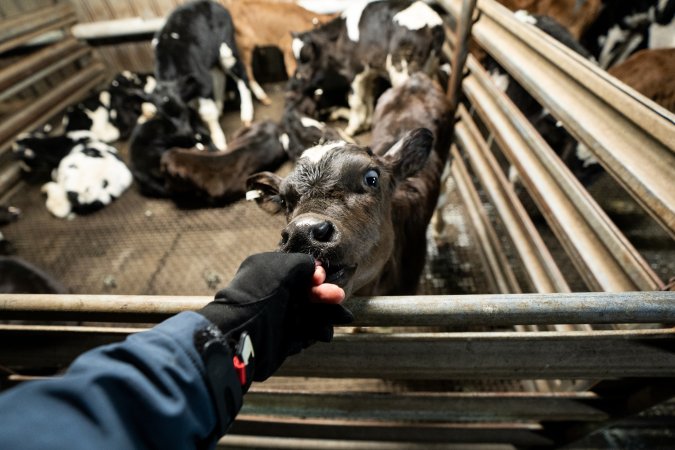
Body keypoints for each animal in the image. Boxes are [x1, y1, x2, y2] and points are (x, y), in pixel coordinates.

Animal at [152, 0, 255, 151]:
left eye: (182, 111)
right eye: (164, 117)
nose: (184, 132)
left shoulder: (203, 82)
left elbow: (207, 113)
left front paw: (219, 141)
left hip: (226, 50)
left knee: (241, 75)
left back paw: (246, 113)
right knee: (219, 76)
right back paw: (219, 106)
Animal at [290, 0, 444, 137]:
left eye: (308, 56)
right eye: (296, 57)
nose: (299, 76)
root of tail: (432, 25)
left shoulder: (354, 71)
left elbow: (355, 101)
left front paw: (352, 128)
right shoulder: (370, 72)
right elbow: (368, 97)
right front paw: (367, 124)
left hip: (401, 68)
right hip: (429, 67)